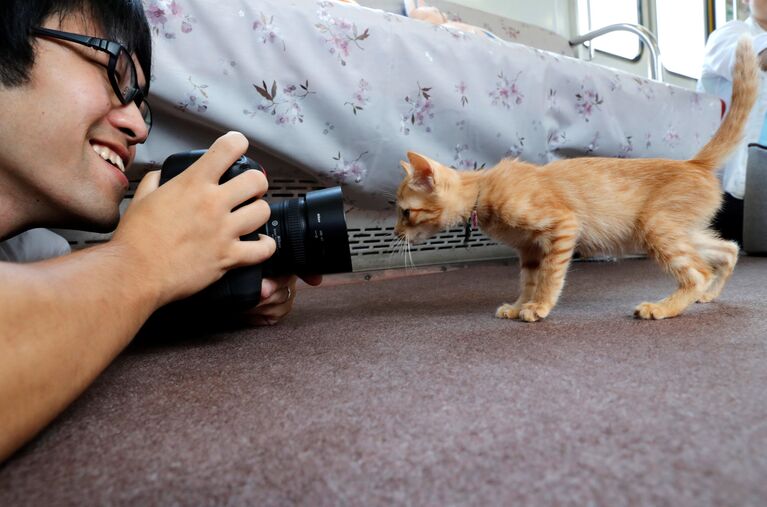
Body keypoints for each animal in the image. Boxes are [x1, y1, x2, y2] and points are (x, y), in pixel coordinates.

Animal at [400, 36, 760, 322]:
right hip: (679, 230)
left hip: (656, 227)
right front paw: (518, 305)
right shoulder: (529, 250)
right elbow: (527, 282)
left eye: (405, 212)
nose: (395, 232)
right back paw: (709, 293)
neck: (484, 187)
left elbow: (550, 277)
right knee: (727, 249)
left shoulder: (562, 226)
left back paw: (662, 307)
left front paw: (538, 307)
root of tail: (693, 162)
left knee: (697, 272)